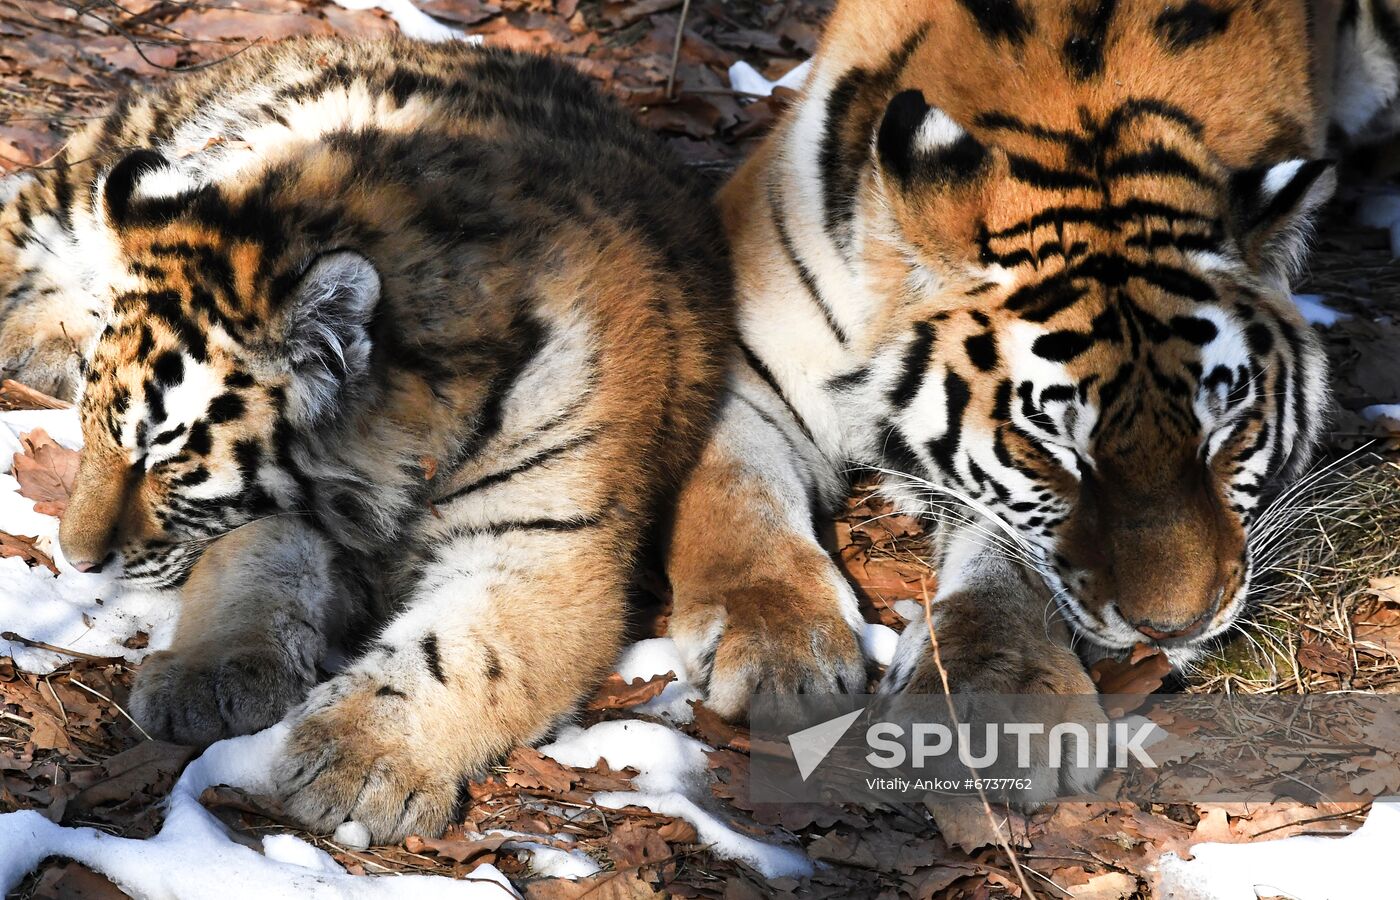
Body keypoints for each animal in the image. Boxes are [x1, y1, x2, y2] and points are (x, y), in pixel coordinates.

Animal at [660, 0, 1400, 789]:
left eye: (1222, 431)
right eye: (1057, 450)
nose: (1178, 625)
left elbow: (1008, 559)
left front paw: (1000, 695)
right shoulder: (727, 343)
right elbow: (737, 485)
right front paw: (777, 644)